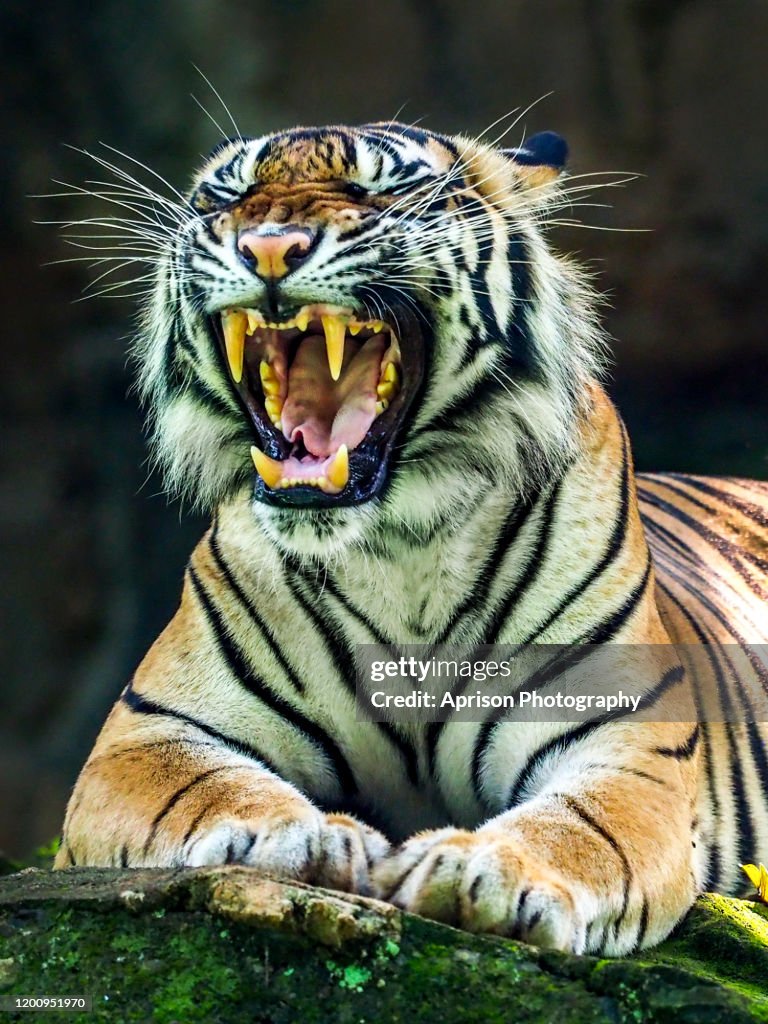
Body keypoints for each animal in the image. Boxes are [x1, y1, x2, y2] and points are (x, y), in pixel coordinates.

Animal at [54, 120, 768, 957]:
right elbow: (208, 786)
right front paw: (301, 838)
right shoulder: (149, 734)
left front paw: (482, 872)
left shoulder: (623, 745)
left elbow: (578, 829)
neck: (400, 546)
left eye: (381, 190)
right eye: (224, 197)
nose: (268, 247)